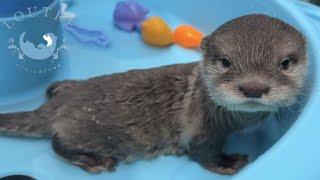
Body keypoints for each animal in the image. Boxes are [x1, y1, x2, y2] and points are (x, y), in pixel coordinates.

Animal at [0, 14, 308, 175]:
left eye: (285, 63)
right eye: (225, 62)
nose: (254, 87)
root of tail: (60, 105)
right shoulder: (202, 128)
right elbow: (203, 153)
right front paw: (228, 163)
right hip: (86, 131)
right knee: (58, 142)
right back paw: (95, 162)